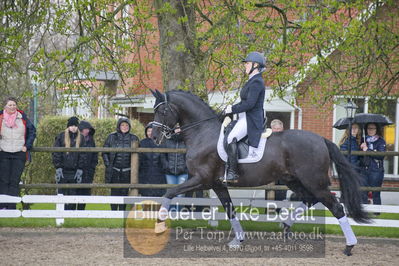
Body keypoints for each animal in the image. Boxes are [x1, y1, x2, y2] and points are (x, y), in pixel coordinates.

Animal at [151, 89, 372, 256]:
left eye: (163, 110)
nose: (153, 136)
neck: (202, 133)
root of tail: (321, 139)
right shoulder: (217, 184)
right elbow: (230, 209)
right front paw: (238, 240)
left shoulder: (201, 179)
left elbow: (169, 192)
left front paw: (159, 225)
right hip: (294, 180)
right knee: (311, 199)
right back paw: (286, 227)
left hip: (313, 181)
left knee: (336, 207)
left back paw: (349, 246)